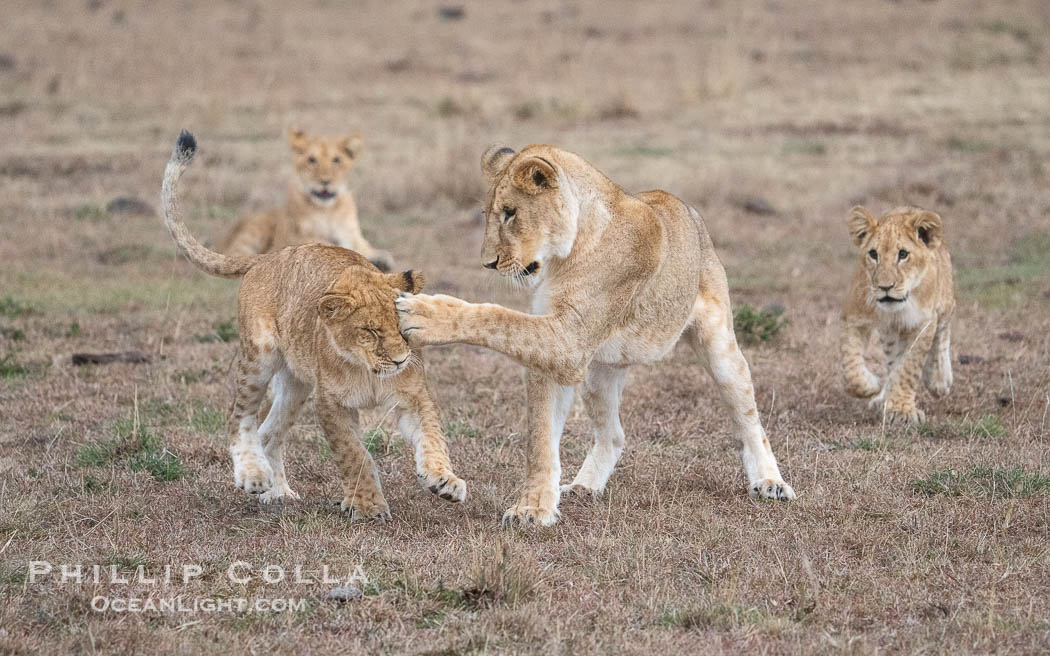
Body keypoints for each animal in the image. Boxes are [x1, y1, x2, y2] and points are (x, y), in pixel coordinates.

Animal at [220, 128, 393, 272]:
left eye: (336, 160)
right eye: (312, 160)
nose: (325, 181)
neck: (328, 211)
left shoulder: (353, 235)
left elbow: (364, 247)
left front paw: (381, 259)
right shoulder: (298, 238)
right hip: (253, 233)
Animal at [396, 143, 795, 527]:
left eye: (510, 212)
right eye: (487, 214)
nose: (488, 263)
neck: (566, 253)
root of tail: (690, 212)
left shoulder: (567, 341)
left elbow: (496, 317)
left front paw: (423, 312)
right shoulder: (556, 357)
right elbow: (541, 441)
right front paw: (534, 509)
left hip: (720, 348)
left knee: (749, 419)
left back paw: (770, 482)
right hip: (598, 372)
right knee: (614, 435)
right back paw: (585, 486)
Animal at [841, 205, 955, 425]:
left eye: (903, 254)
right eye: (873, 254)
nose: (885, 287)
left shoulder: (924, 323)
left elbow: (909, 367)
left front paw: (902, 410)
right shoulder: (854, 317)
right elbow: (851, 369)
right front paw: (873, 384)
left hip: (946, 300)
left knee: (944, 331)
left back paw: (939, 379)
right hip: (889, 335)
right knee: (892, 362)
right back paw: (884, 396)